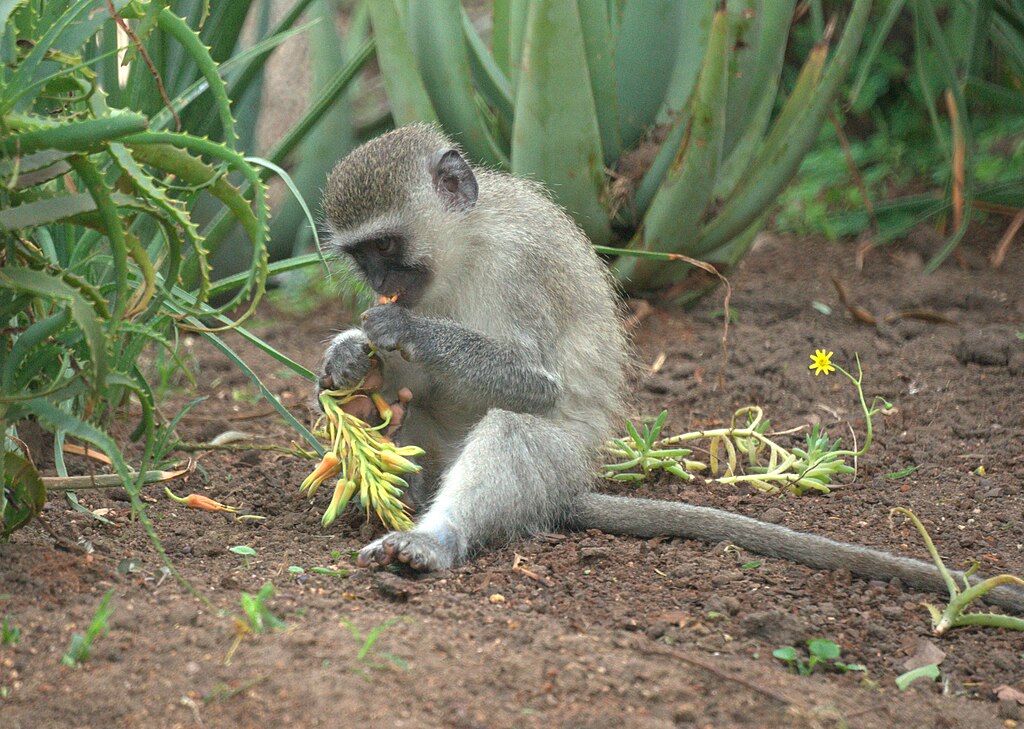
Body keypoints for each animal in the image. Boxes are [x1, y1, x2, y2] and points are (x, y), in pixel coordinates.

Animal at [317, 124, 1024, 614]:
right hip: (429, 454)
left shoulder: (523, 265)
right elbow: (406, 380)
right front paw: (350, 357)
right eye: (361, 257)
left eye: (387, 246)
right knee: (402, 426)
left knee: (519, 429)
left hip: (556, 465)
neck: (465, 248)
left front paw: (405, 332)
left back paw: (434, 537)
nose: (380, 284)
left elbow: (535, 383)